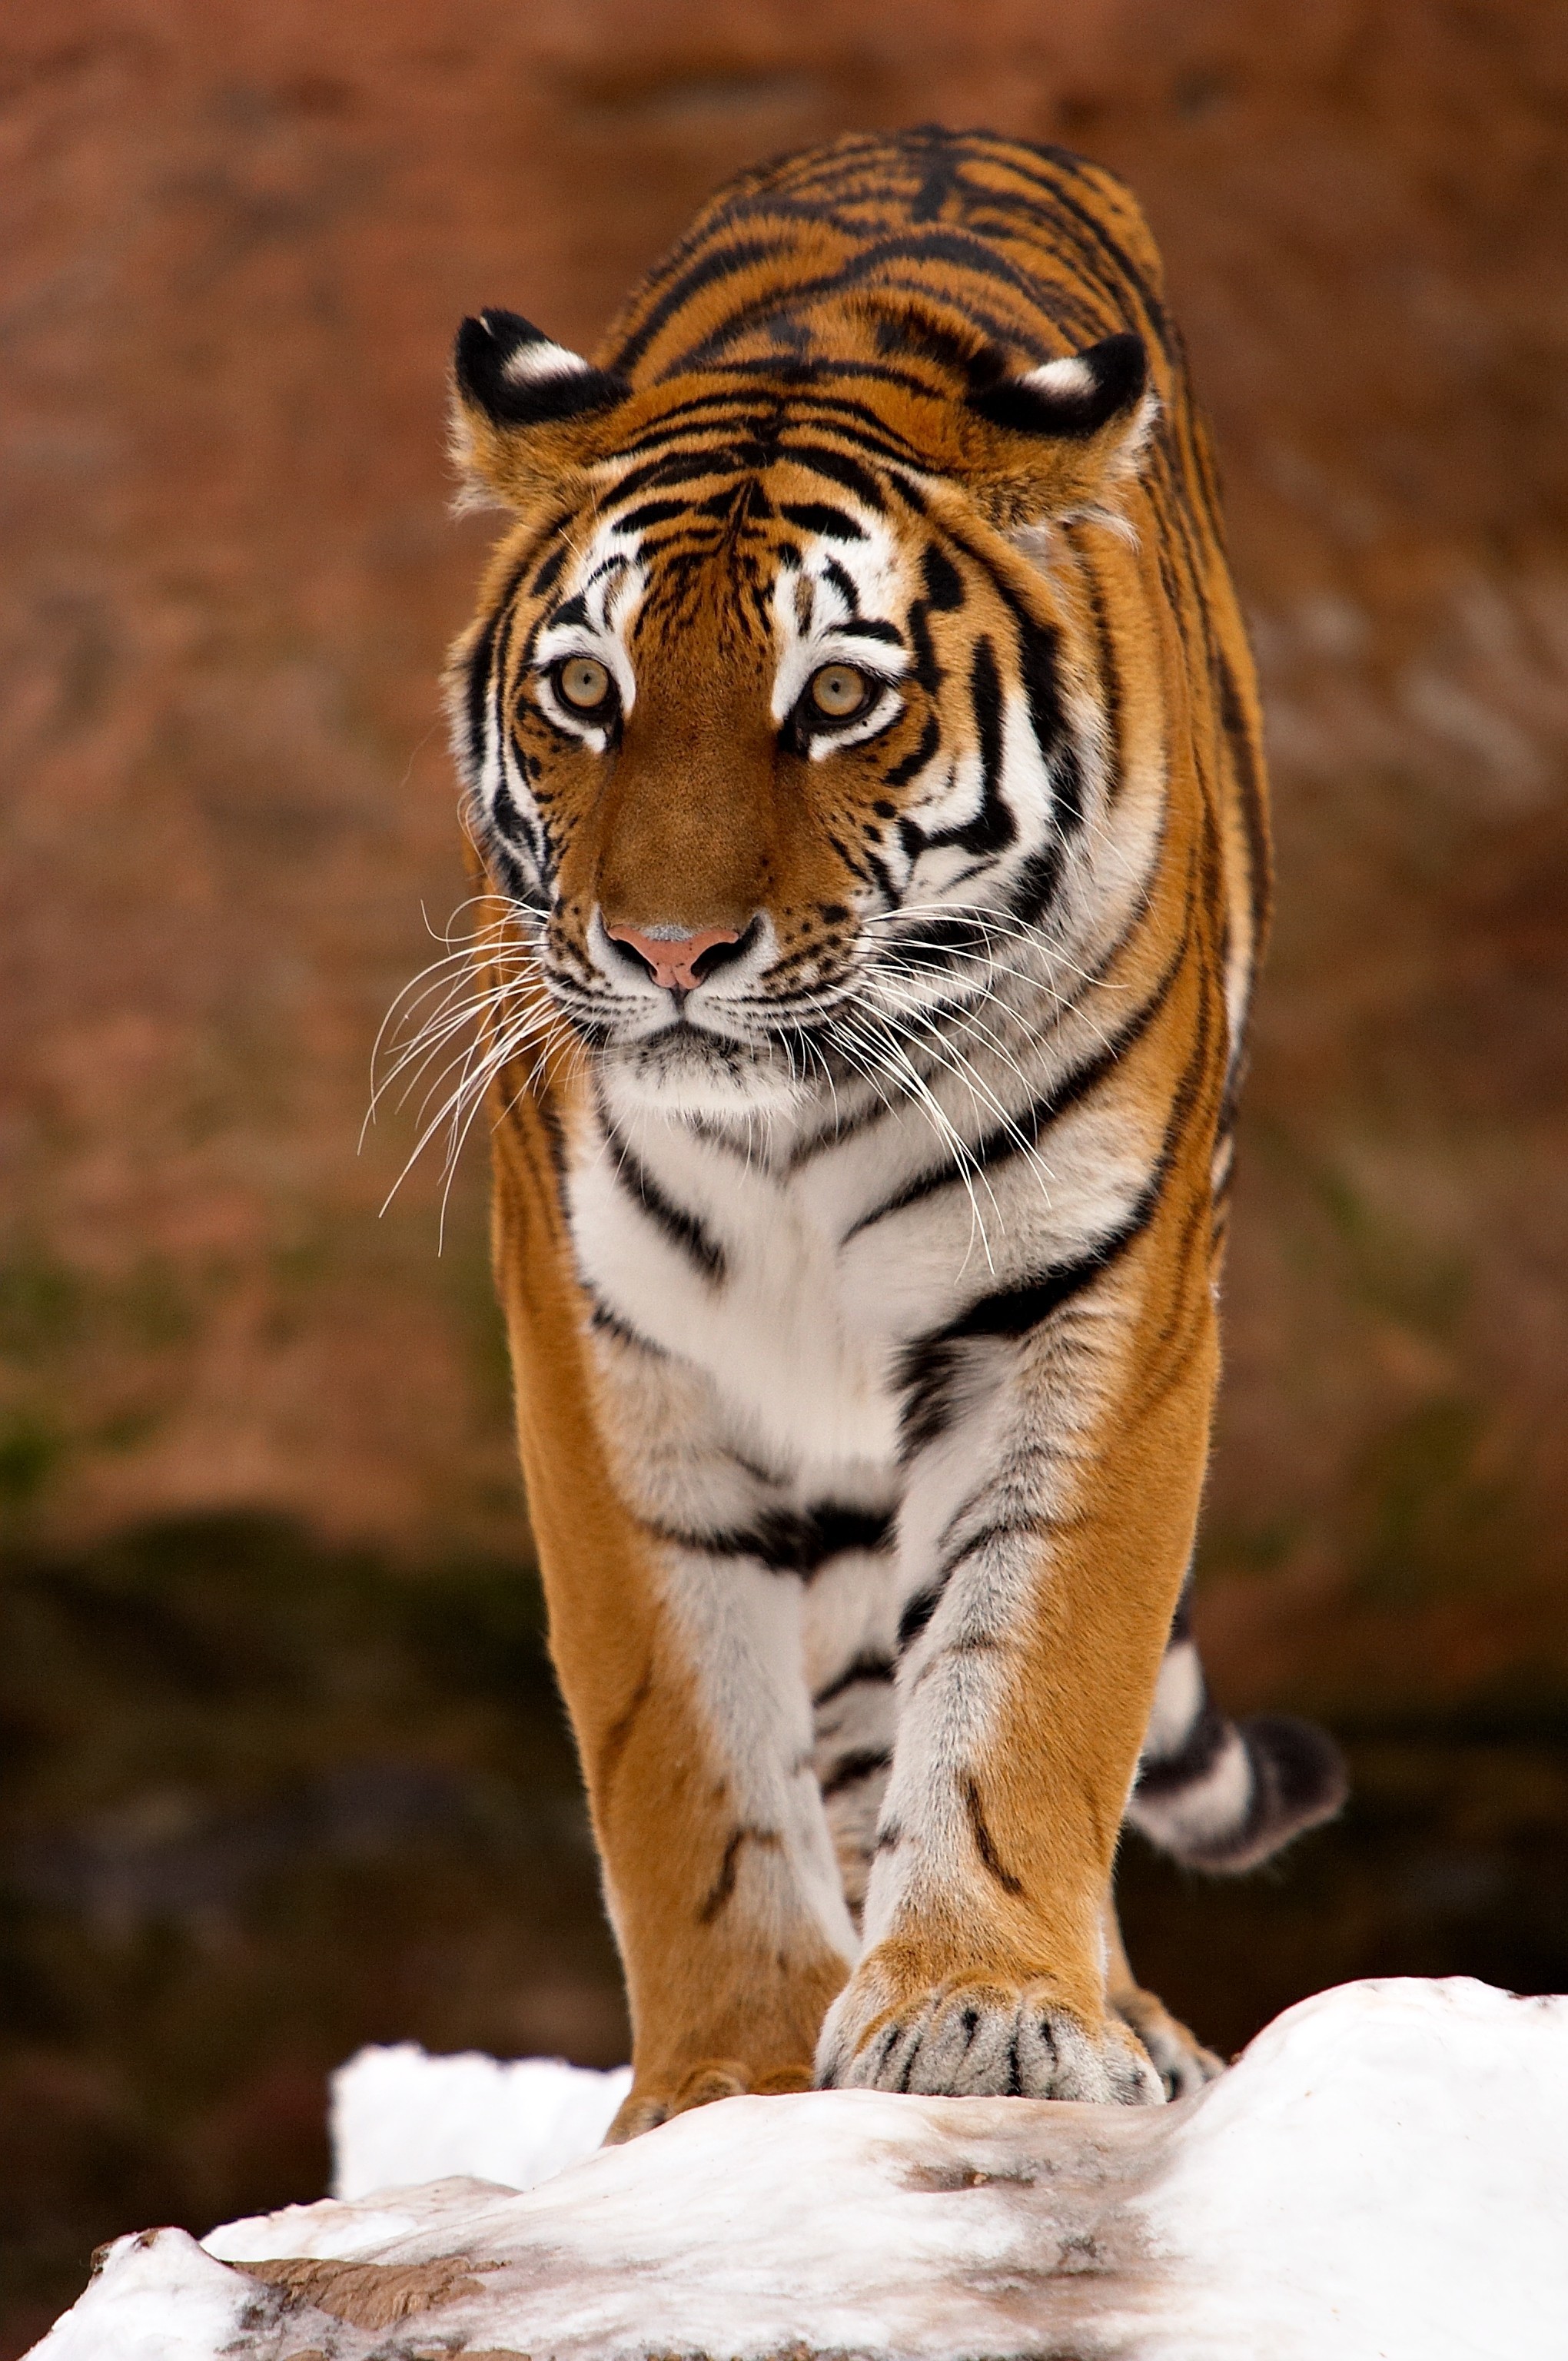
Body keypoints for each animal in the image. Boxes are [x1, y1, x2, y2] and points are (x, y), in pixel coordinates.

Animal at [439, 125, 1344, 2135]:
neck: (803, 1113)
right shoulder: (610, 1338)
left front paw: (986, 2005)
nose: (667, 951)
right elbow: (681, 1743)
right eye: (586, 693)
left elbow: (1036, 1668)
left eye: (837, 698)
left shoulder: (1091, 1300)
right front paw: (727, 2076)